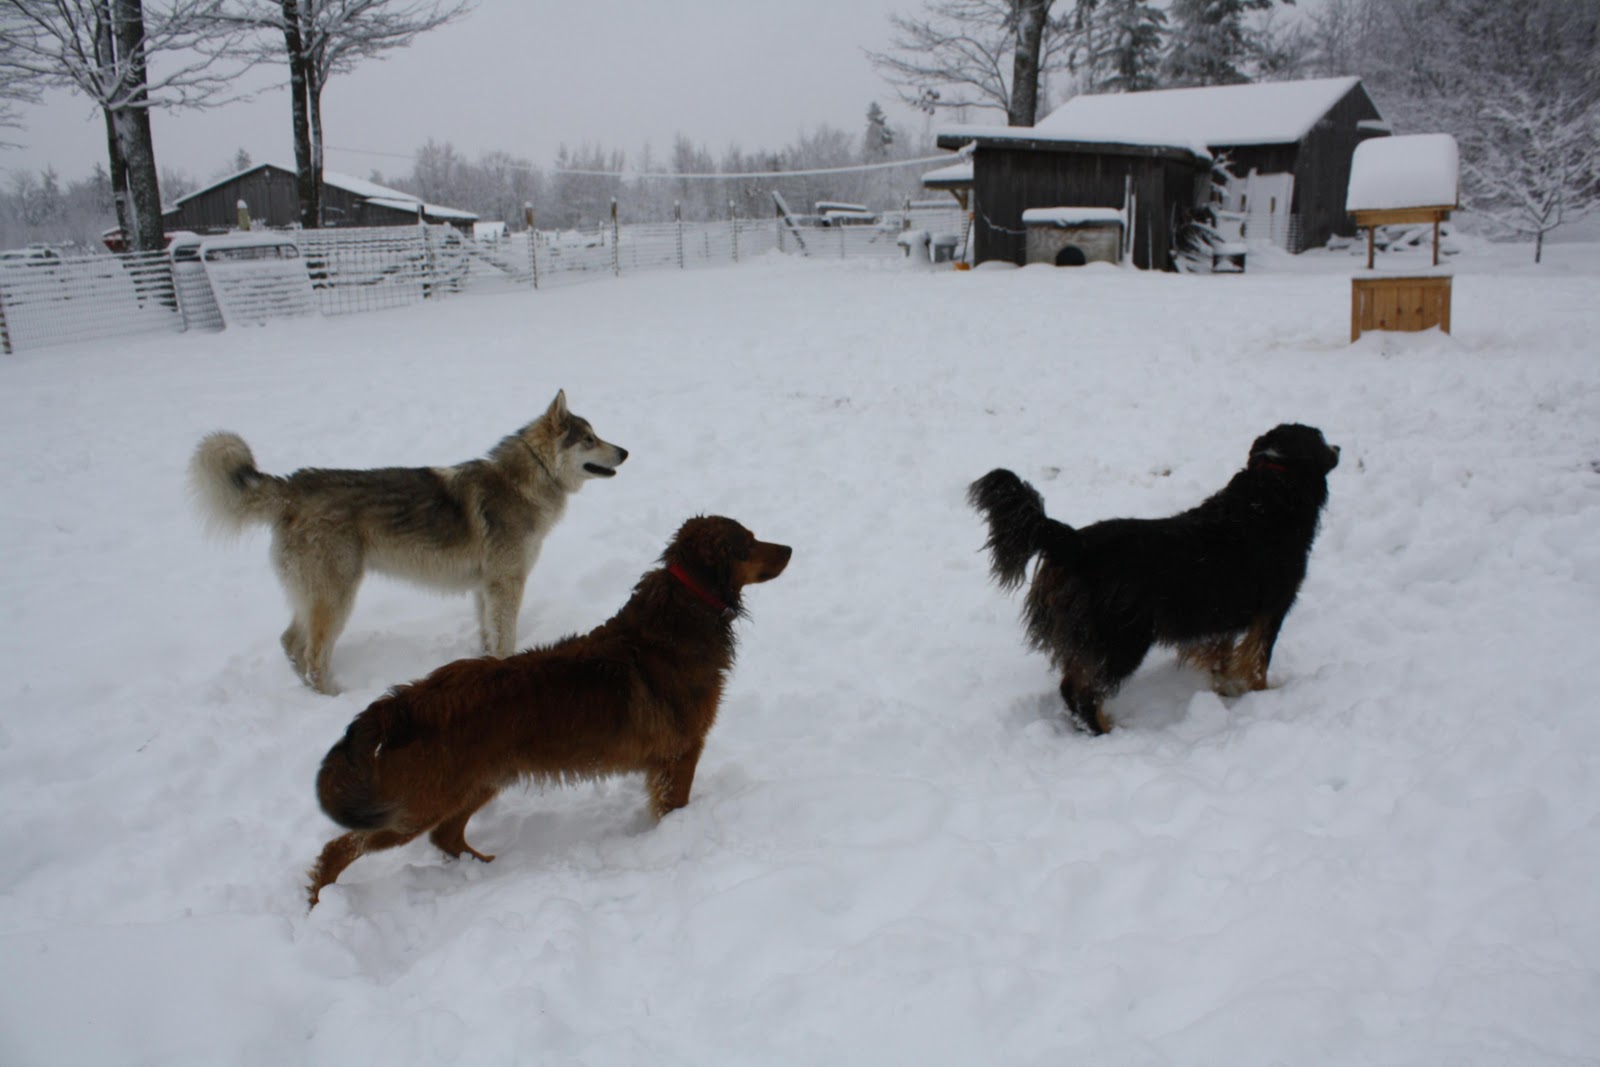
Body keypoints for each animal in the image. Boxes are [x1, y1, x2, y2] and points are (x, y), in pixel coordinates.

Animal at [190, 390, 627, 694]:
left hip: (315, 596)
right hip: (337, 597)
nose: (625, 451)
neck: (526, 480)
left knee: (290, 642)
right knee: (313, 655)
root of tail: (292, 486)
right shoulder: (507, 584)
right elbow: (505, 639)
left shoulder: (485, 588)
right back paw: (335, 697)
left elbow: (488, 636)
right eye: (589, 439)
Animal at [302, 511, 790, 908]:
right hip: (419, 803)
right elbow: (675, 807)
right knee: (340, 848)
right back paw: (320, 902)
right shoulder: (680, 753)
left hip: (477, 783)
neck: (678, 615)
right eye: (747, 543)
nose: (788, 549)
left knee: (446, 835)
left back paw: (485, 868)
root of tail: (404, 701)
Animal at [972, 422, 1337, 735]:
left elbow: (1222, 655)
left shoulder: (1221, 614)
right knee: (1082, 692)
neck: (1272, 486)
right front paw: (1260, 693)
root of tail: (1076, 543)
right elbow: (1258, 659)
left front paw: (1225, 688)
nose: (1339, 447)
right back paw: (1107, 731)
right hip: (1121, 640)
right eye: (1319, 437)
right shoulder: (1274, 606)